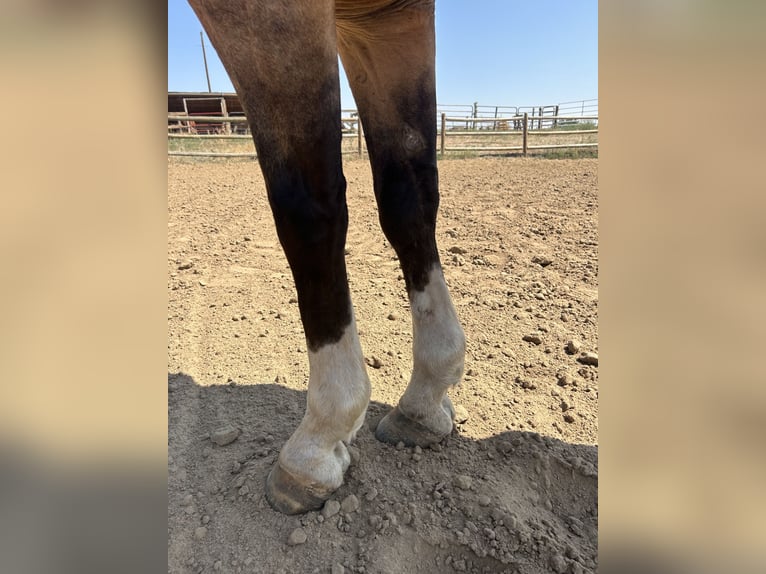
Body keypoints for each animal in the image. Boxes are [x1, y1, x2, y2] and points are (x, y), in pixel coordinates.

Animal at [190, 0, 468, 516]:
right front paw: (424, 400)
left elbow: (308, 207)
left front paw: (317, 443)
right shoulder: (386, 21)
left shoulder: (268, 15)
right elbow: (409, 193)